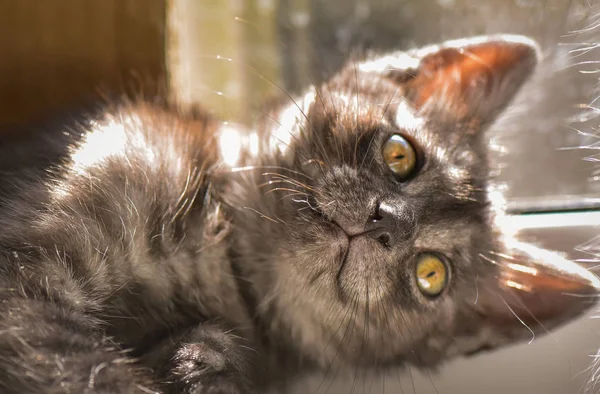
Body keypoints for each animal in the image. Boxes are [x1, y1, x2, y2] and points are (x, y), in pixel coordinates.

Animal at [1, 33, 600, 394]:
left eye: (431, 274)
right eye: (400, 155)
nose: (386, 221)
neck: (215, 260)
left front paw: (197, 361)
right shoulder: (29, 279)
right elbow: (80, 369)